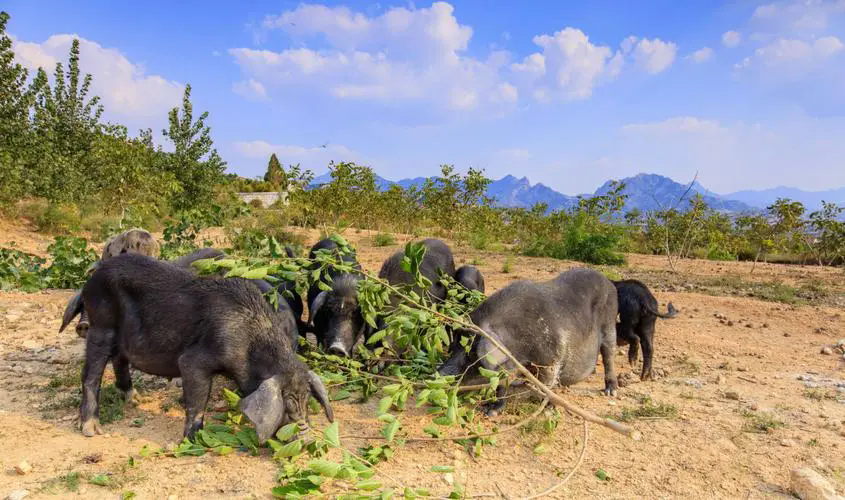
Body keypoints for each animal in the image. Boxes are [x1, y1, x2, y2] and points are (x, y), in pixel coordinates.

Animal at [62, 254, 332, 442]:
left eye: (307, 398)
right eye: (287, 403)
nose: (307, 437)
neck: (250, 347)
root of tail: (90, 280)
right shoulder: (194, 361)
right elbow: (198, 401)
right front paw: (195, 441)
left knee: (119, 359)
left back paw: (135, 399)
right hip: (101, 326)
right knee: (90, 374)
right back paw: (91, 430)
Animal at [438, 268, 616, 416]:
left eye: (473, 354)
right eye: (454, 347)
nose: (438, 374)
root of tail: (609, 282)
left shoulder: (551, 358)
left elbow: (547, 383)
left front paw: (547, 409)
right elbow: (502, 384)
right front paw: (490, 410)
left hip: (609, 324)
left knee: (608, 354)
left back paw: (610, 391)